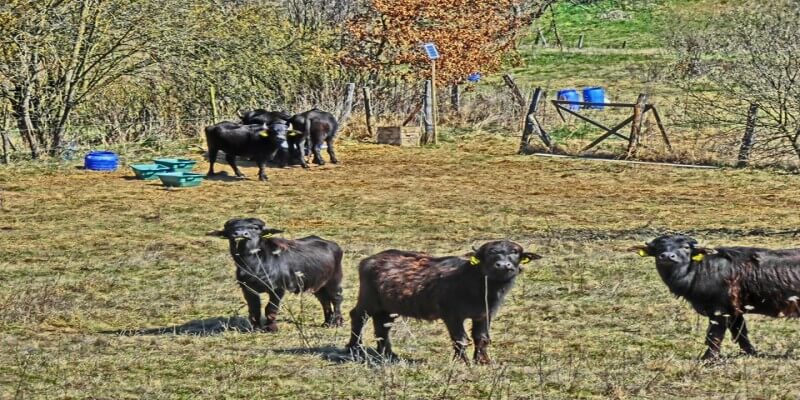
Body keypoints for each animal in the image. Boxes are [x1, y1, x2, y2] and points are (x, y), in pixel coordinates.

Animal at [208, 219, 342, 332]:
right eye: (231, 229)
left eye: (255, 228)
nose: (240, 234)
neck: (253, 266)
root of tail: (334, 245)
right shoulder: (247, 289)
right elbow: (254, 308)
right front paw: (256, 328)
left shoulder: (278, 289)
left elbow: (270, 308)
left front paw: (271, 327)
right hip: (318, 284)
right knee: (324, 301)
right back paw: (327, 323)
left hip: (335, 280)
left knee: (336, 299)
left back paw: (338, 322)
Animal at [346, 239, 540, 364]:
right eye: (490, 253)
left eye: (514, 253)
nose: (503, 265)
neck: (478, 286)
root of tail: (368, 261)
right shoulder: (452, 316)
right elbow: (460, 339)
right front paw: (463, 362)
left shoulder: (484, 315)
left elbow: (482, 338)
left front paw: (483, 361)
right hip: (368, 300)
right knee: (358, 316)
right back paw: (354, 347)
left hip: (388, 307)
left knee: (382, 325)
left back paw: (388, 353)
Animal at [636, 233, 800, 360]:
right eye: (659, 247)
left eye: (686, 247)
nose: (667, 256)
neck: (698, 270)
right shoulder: (734, 311)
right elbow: (740, 333)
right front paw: (752, 353)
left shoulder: (719, 311)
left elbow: (714, 335)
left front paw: (708, 358)